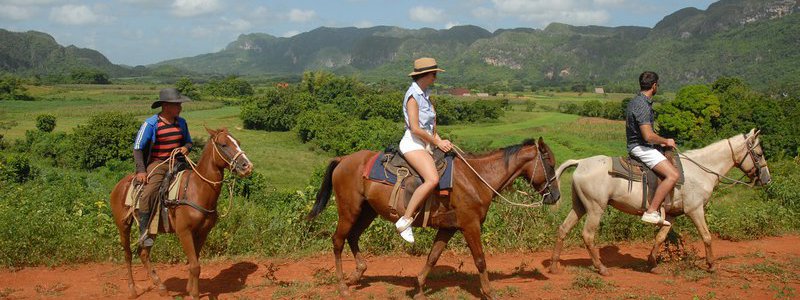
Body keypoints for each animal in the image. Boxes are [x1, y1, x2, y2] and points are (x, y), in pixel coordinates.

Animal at [109, 127, 252, 298]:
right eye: (223, 144)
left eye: (238, 142)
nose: (247, 166)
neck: (197, 189)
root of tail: (119, 185)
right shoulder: (184, 232)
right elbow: (195, 266)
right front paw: (195, 294)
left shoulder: (203, 232)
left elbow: (194, 261)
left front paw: (189, 288)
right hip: (123, 225)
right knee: (128, 254)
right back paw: (132, 290)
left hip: (152, 228)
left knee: (143, 254)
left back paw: (161, 287)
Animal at [310, 137, 560, 298]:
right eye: (550, 164)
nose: (556, 196)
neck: (476, 178)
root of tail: (343, 159)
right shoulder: (470, 225)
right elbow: (480, 260)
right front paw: (489, 292)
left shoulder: (449, 228)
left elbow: (433, 257)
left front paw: (419, 287)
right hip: (349, 210)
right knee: (338, 240)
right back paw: (343, 286)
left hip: (367, 211)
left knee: (352, 237)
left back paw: (358, 273)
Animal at [552, 129, 768, 274]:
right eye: (758, 154)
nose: (767, 179)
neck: (700, 170)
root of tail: (580, 162)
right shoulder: (695, 209)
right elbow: (706, 236)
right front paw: (711, 265)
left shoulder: (671, 215)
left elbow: (660, 237)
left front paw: (652, 262)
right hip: (596, 208)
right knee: (588, 235)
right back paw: (601, 268)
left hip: (579, 206)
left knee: (563, 229)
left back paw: (555, 265)